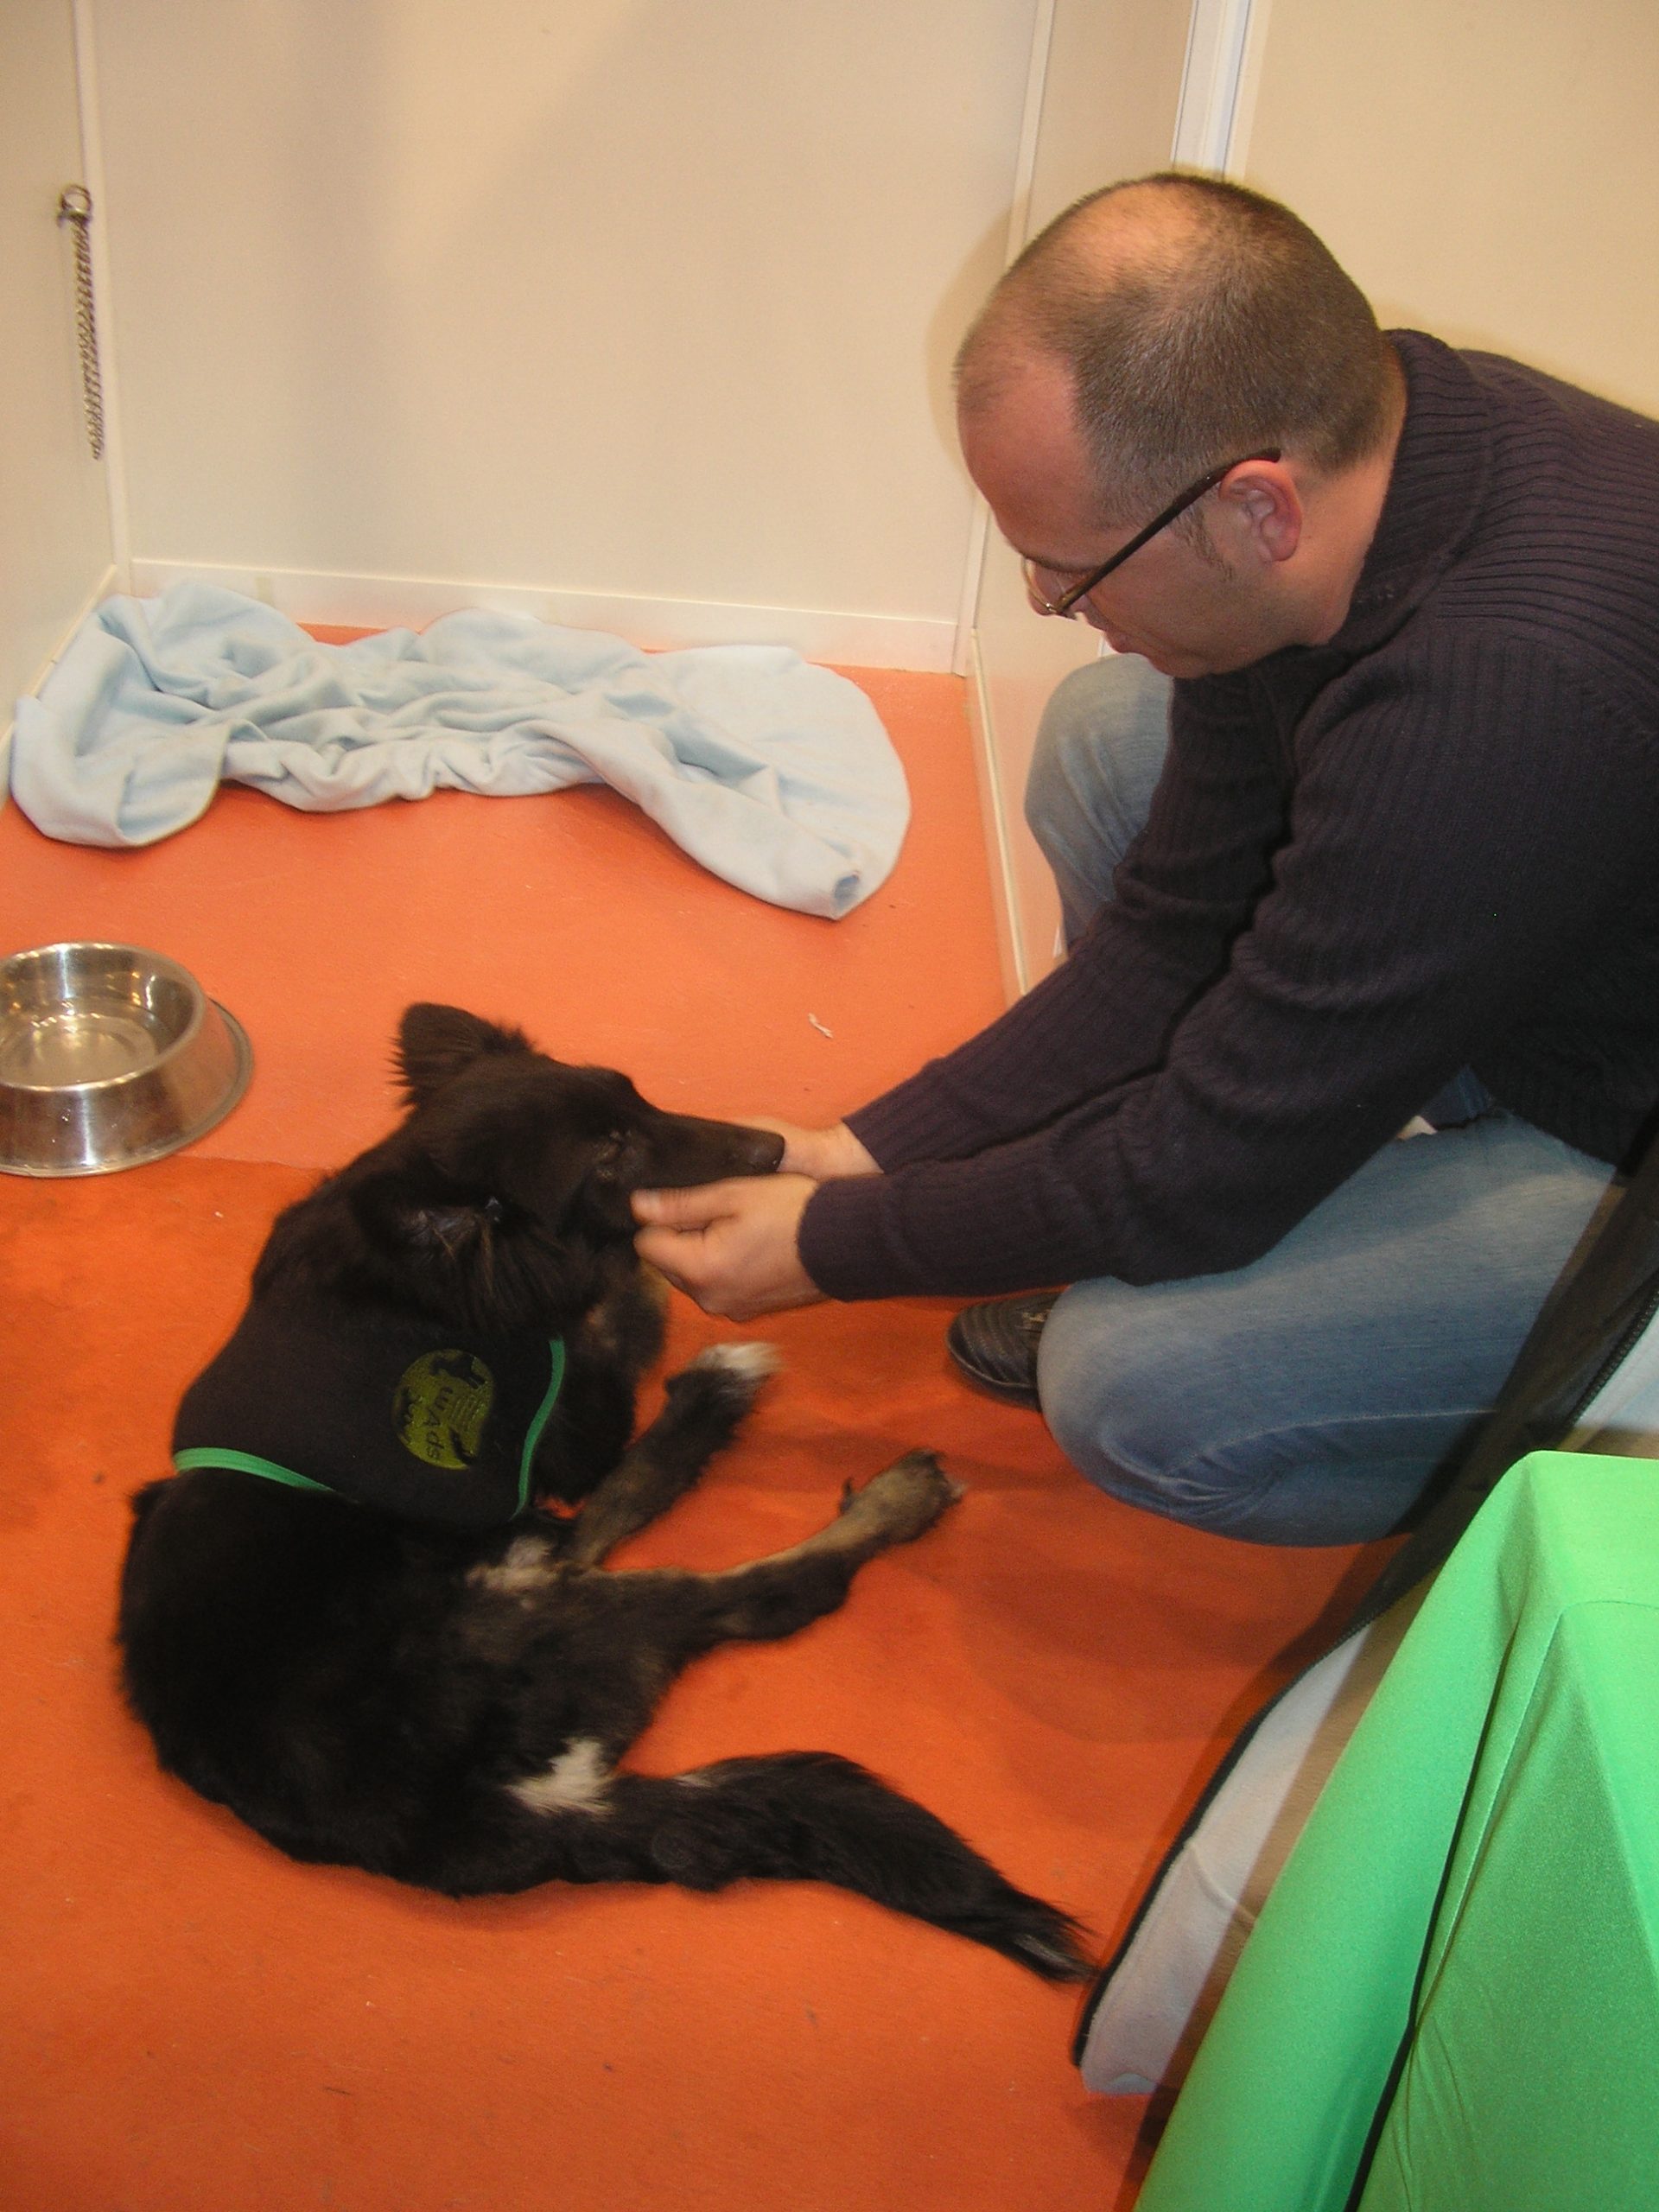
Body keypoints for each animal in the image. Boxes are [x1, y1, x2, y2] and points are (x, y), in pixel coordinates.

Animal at [113, 1013, 1092, 1981]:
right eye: (609, 1152)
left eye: (636, 1097)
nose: (772, 1149)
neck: (433, 1278)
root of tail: (485, 1817)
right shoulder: (558, 1435)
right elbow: (618, 1322)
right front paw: (639, 1295)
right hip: (541, 1595)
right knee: (762, 1587)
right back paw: (847, 1472)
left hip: (523, 1564)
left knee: (599, 1536)